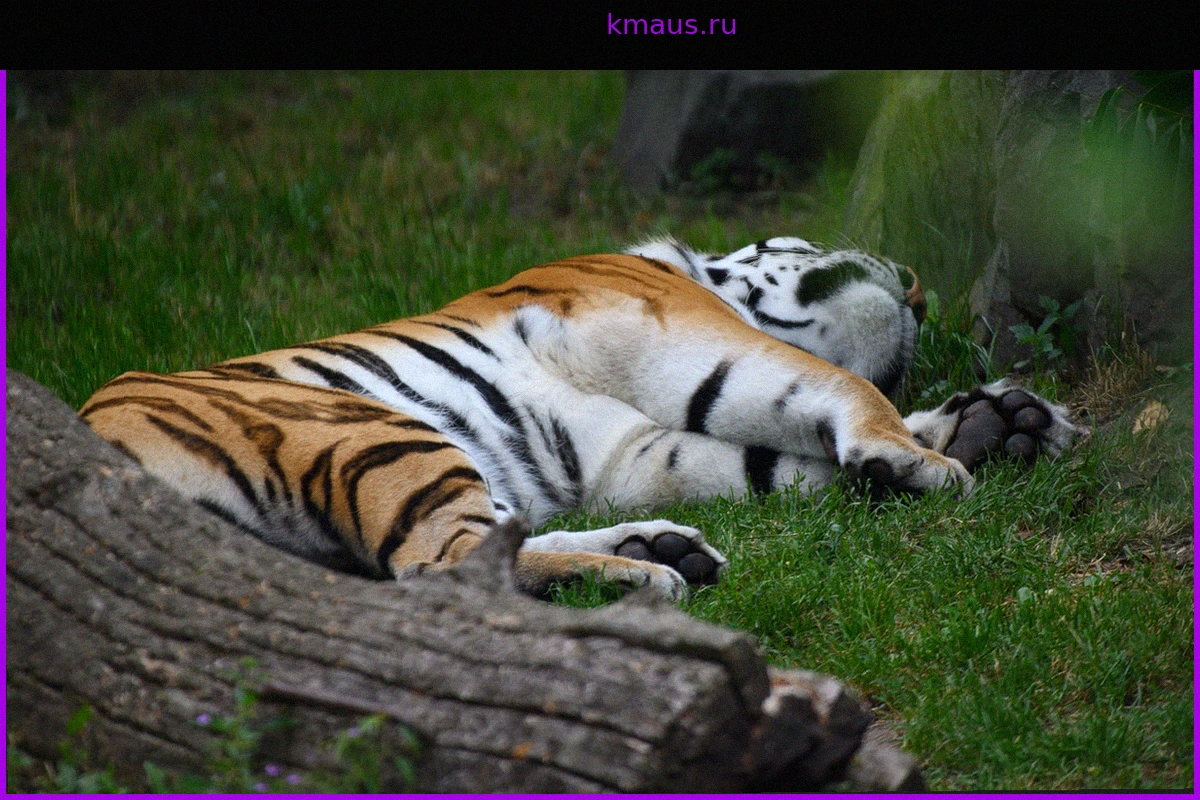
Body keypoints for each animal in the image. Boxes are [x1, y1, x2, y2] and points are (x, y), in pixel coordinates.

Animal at [80, 237, 1086, 601]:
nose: (916, 285)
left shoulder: (633, 450)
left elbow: (780, 459)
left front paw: (1004, 424)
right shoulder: (679, 330)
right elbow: (836, 389)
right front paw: (926, 458)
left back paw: (657, 553)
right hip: (368, 427)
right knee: (440, 570)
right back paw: (646, 578)